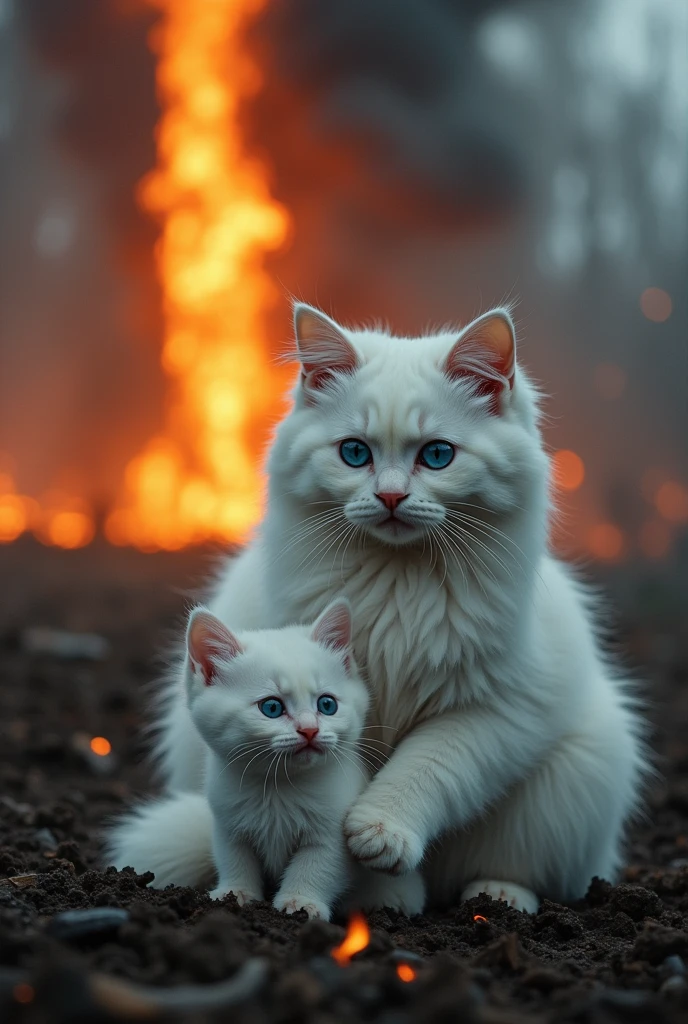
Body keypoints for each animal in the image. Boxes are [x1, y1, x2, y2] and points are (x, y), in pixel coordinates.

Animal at [108, 598, 427, 917]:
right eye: (271, 707)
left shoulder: (332, 833)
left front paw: (300, 902)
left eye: (327, 704)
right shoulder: (228, 825)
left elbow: (317, 867)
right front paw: (234, 893)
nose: (309, 730)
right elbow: (235, 860)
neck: (278, 787)